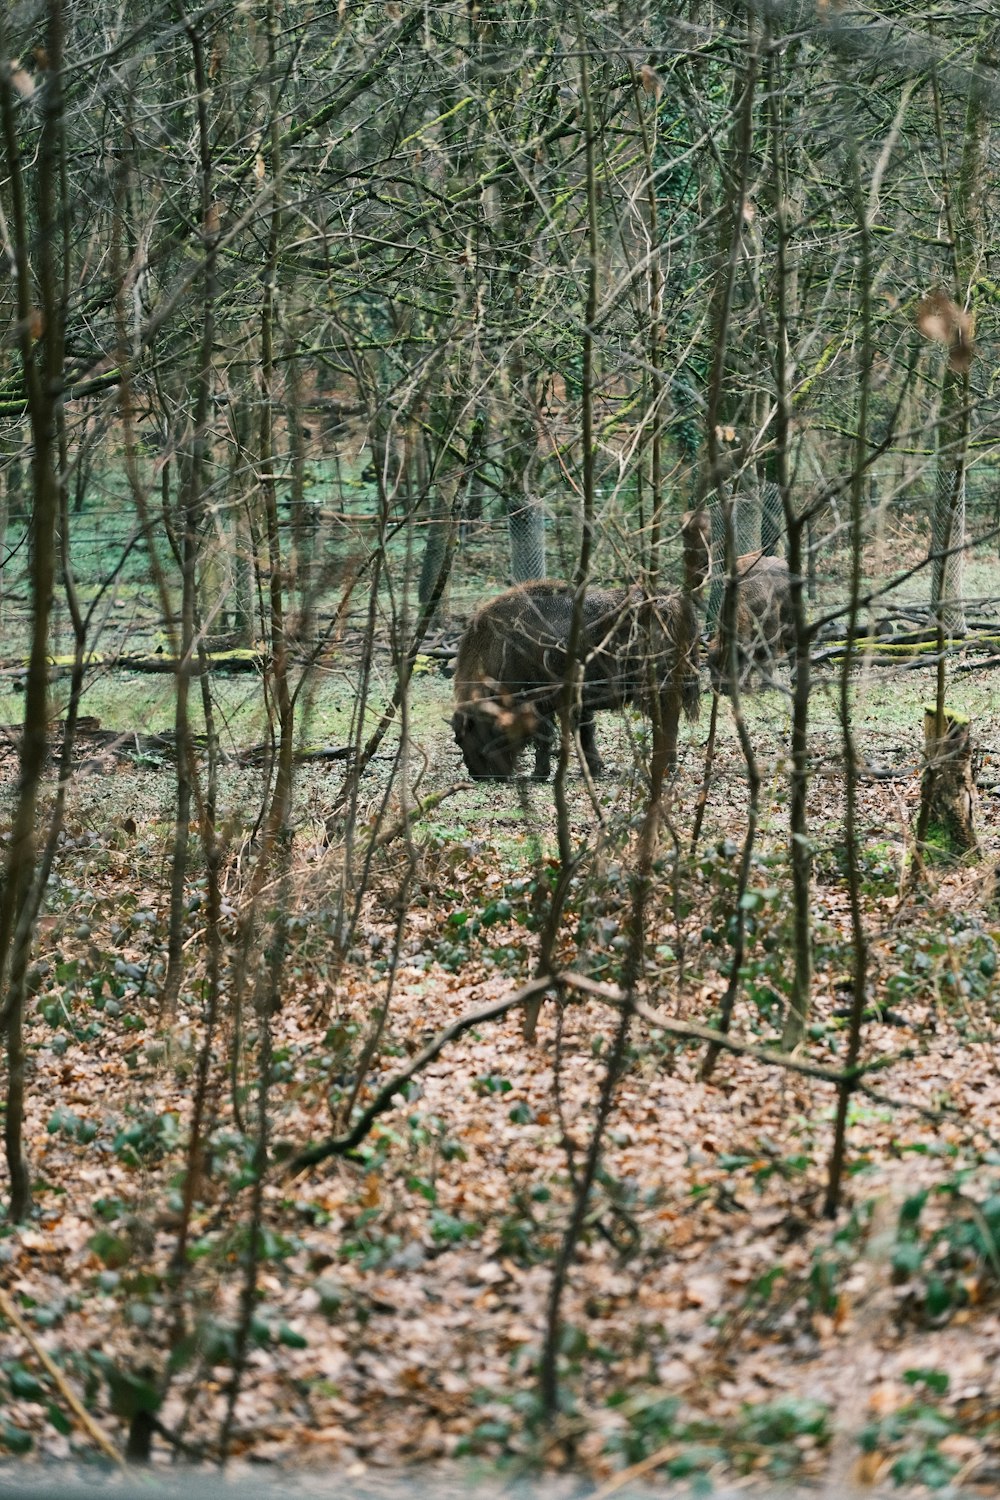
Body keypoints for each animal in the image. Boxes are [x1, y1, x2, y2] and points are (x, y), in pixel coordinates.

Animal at [449, 516, 707, 780]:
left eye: (464, 736)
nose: (477, 775)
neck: (501, 648)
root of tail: (673, 602)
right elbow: (585, 733)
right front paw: (593, 769)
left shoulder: (542, 702)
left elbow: (546, 736)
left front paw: (539, 774)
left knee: (666, 723)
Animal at [707, 552, 791, 690]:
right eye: (709, 665)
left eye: (730, 663)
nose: (722, 689)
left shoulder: (769, 632)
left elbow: (766, 656)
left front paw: (765, 686)